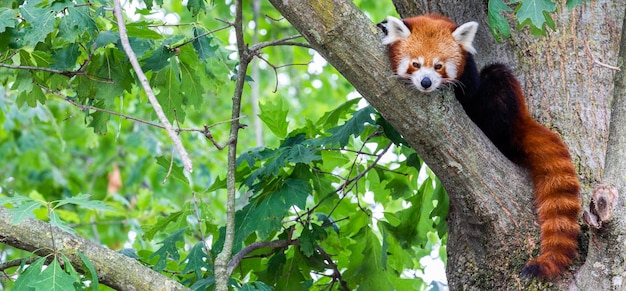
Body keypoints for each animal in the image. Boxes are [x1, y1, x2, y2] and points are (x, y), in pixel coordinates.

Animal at [380, 14, 580, 280]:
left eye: (439, 66)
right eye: (415, 64)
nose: (426, 82)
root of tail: (521, 120)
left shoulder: (470, 76)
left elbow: (471, 91)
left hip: (504, 106)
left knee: (497, 76)